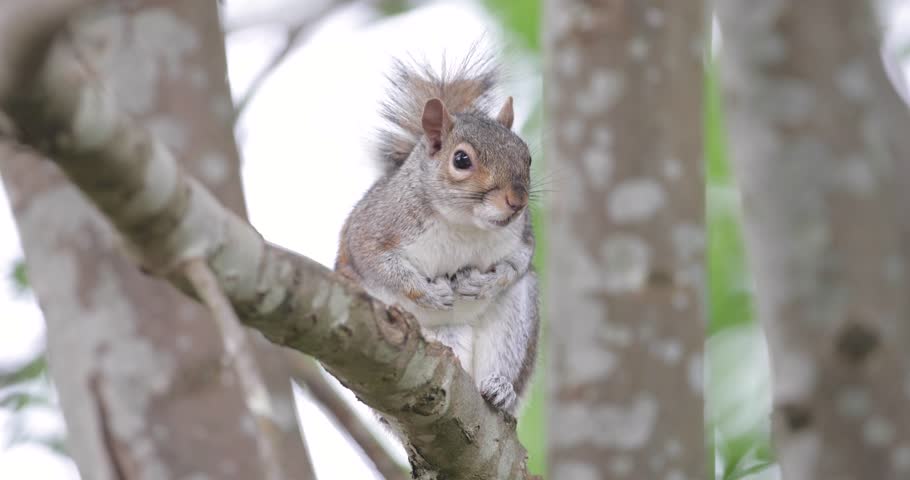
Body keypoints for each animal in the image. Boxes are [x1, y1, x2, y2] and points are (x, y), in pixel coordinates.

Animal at [335, 49, 539, 417]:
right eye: (461, 160)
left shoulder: (522, 235)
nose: (516, 202)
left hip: (516, 317)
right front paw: (427, 292)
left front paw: (486, 281)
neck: (464, 224)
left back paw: (500, 389)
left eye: (527, 157)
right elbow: (377, 263)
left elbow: (518, 261)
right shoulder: (376, 229)